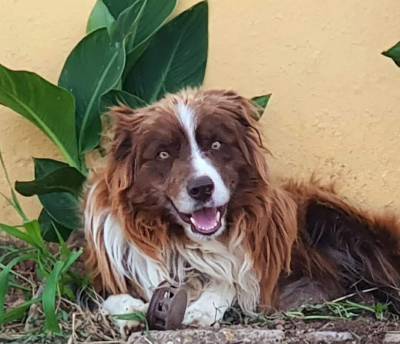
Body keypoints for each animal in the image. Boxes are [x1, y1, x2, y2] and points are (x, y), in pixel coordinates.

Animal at [83, 87, 400, 326]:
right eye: (163, 154)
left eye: (215, 145)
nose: (202, 188)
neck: (183, 242)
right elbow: (110, 296)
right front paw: (129, 312)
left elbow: (233, 281)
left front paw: (202, 308)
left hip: (327, 213)